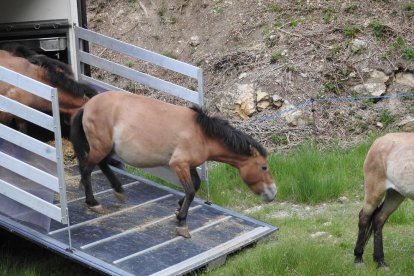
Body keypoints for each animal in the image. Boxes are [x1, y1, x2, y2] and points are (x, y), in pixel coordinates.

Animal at [70, 91, 278, 238]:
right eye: (264, 167)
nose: (273, 193)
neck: (202, 135)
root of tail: (86, 106)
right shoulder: (179, 165)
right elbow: (191, 191)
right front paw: (182, 224)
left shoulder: (189, 166)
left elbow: (195, 185)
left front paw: (179, 209)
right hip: (100, 147)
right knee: (86, 170)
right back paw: (93, 203)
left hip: (105, 148)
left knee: (102, 165)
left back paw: (118, 190)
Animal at [352, 133, 414, 268]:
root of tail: (378, 142)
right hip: (375, 193)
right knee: (364, 217)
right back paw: (358, 258)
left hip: (395, 195)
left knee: (379, 219)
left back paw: (380, 261)